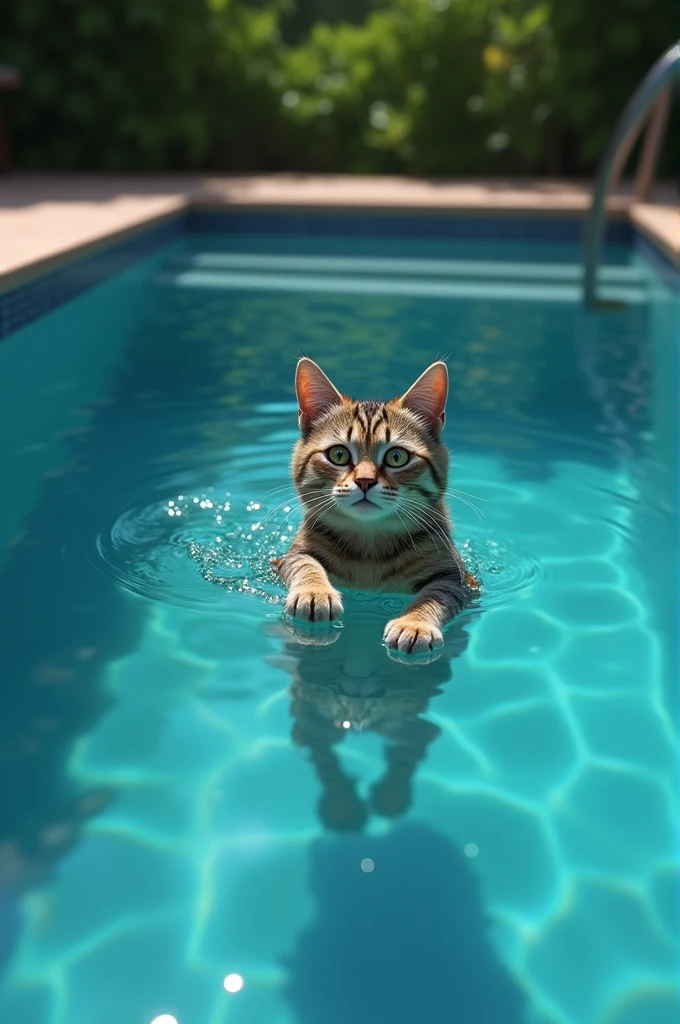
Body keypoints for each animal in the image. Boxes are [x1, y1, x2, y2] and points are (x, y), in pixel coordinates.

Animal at [274, 356, 475, 651]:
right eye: (338, 454)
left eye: (396, 457)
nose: (365, 481)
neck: (370, 542)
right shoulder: (290, 555)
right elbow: (304, 563)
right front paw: (314, 591)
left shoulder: (457, 578)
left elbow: (436, 594)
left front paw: (414, 622)